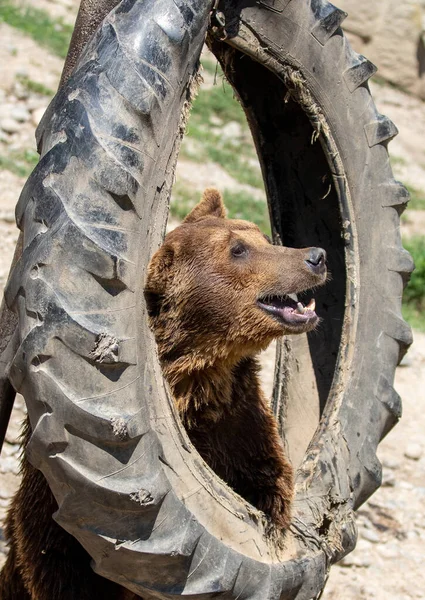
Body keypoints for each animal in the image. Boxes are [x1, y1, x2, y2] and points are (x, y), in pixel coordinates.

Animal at [0, 186, 326, 596]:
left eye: (263, 237)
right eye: (238, 250)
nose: (316, 256)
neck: (198, 379)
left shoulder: (240, 426)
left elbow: (268, 485)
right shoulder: (54, 517)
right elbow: (65, 566)